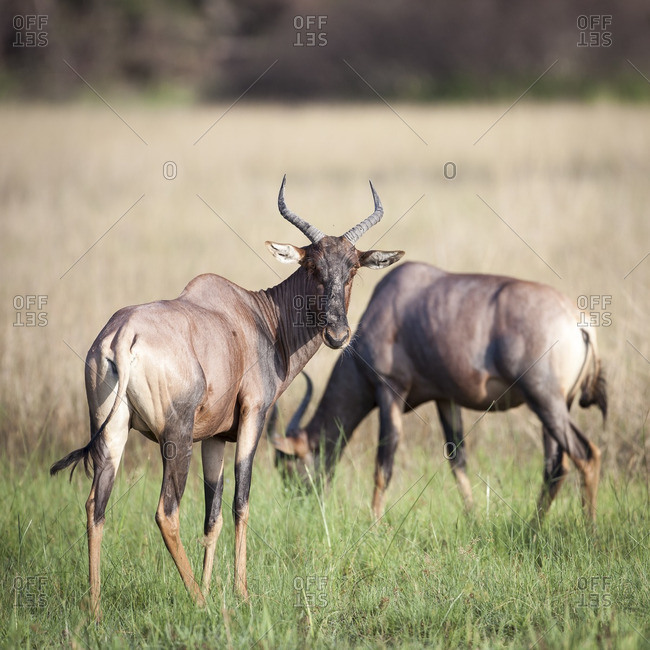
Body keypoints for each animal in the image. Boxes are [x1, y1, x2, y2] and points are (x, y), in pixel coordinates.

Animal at [50, 176, 404, 620]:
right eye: (312, 267)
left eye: (352, 267)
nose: (338, 334)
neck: (257, 316)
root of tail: (124, 334)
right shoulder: (253, 416)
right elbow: (241, 502)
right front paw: (240, 593)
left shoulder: (215, 437)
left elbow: (212, 515)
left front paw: (212, 585)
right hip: (176, 437)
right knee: (166, 512)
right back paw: (198, 603)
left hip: (112, 431)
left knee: (95, 507)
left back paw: (97, 610)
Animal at [270, 261, 606, 524]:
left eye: (286, 466)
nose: (297, 508)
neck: (391, 302)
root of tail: (580, 323)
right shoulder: (446, 398)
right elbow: (458, 458)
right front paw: (473, 520)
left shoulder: (389, 391)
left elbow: (384, 461)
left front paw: (375, 524)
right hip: (555, 406)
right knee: (555, 467)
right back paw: (532, 528)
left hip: (545, 402)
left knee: (586, 454)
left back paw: (588, 530)